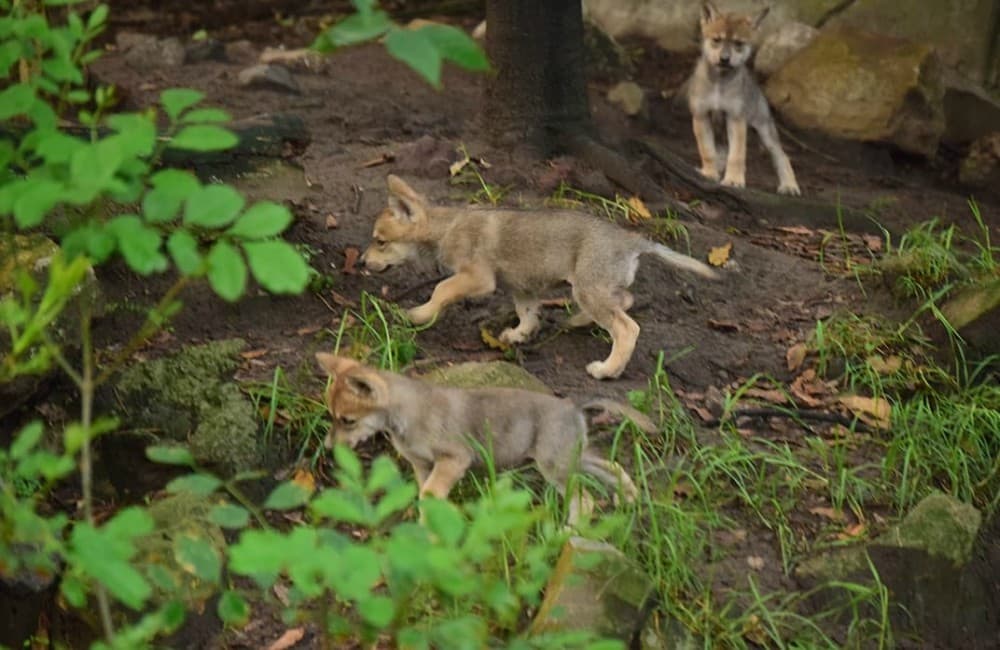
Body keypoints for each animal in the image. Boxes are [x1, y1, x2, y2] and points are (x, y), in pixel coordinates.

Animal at [316, 353, 651, 524]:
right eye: (331, 416)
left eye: (347, 420)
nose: (328, 448)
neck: (404, 415)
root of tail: (573, 405)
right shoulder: (422, 466)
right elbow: (424, 496)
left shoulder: (453, 460)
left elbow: (430, 497)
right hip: (573, 458)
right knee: (613, 467)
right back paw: (630, 498)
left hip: (555, 467)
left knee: (586, 501)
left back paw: (566, 536)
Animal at [360, 175, 719, 380]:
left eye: (380, 242)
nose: (362, 261)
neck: (444, 227)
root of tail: (632, 240)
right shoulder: (522, 287)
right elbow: (528, 314)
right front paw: (519, 336)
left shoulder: (477, 278)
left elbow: (441, 289)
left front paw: (419, 314)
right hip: (594, 287)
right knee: (625, 300)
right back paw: (578, 321)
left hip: (589, 289)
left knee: (627, 328)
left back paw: (607, 370)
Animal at [688, 1, 800, 195]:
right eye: (716, 40)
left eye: (738, 43)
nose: (724, 59)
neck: (719, 84)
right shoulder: (701, 116)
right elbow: (707, 151)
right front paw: (709, 173)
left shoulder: (736, 119)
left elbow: (737, 155)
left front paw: (733, 180)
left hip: (765, 131)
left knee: (782, 156)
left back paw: (789, 185)